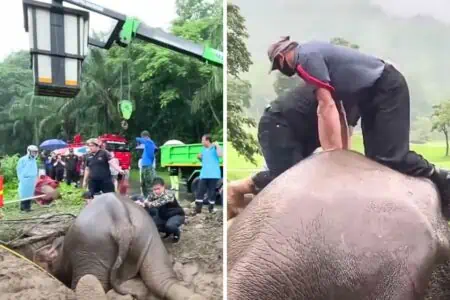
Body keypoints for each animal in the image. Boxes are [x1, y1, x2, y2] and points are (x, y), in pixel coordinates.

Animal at [36, 192, 205, 300]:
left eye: (48, 262)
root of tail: (121, 220)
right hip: (150, 238)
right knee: (161, 278)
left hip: (90, 248)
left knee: (90, 280)